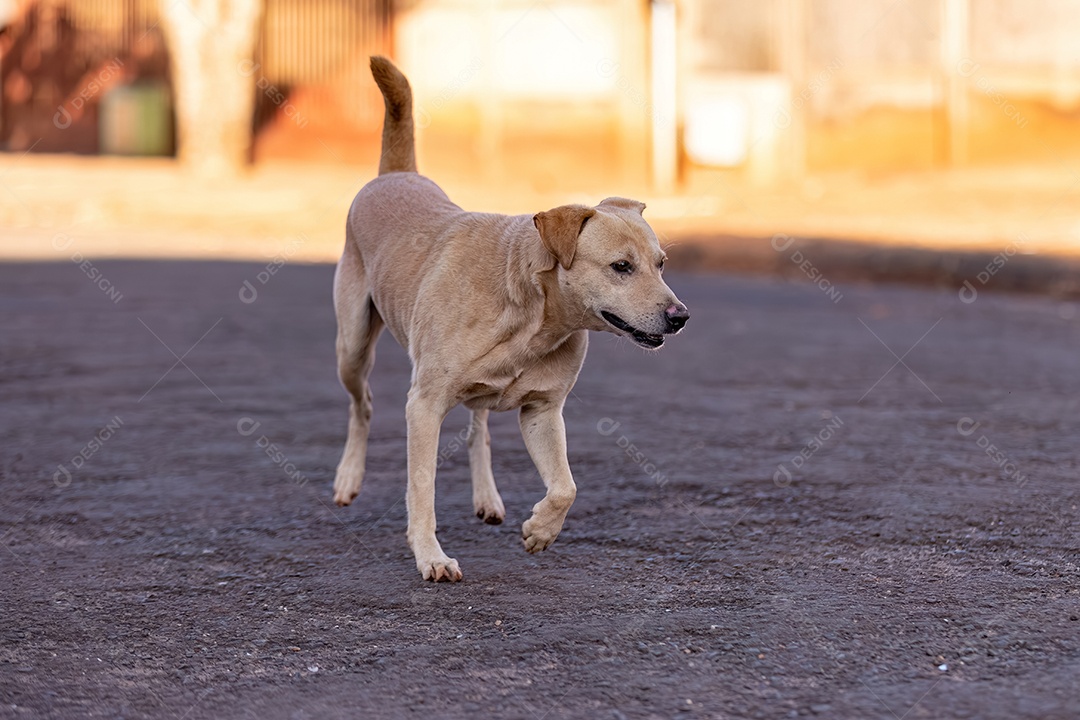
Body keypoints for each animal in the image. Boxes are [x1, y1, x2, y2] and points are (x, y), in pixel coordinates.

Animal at [330, 57, 691, 587]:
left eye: (661, 264)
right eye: (621, 267)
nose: (680, 316)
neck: (531, 312)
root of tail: (397, 173)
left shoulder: (542, 410)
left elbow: (565, 486)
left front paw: (540, 529)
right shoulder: (424, 406)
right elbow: (422, 490)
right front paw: (431, 556)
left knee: (477, 426)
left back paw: (487, 497)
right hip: (353, 346)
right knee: (364, 405)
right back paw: (348, 479)